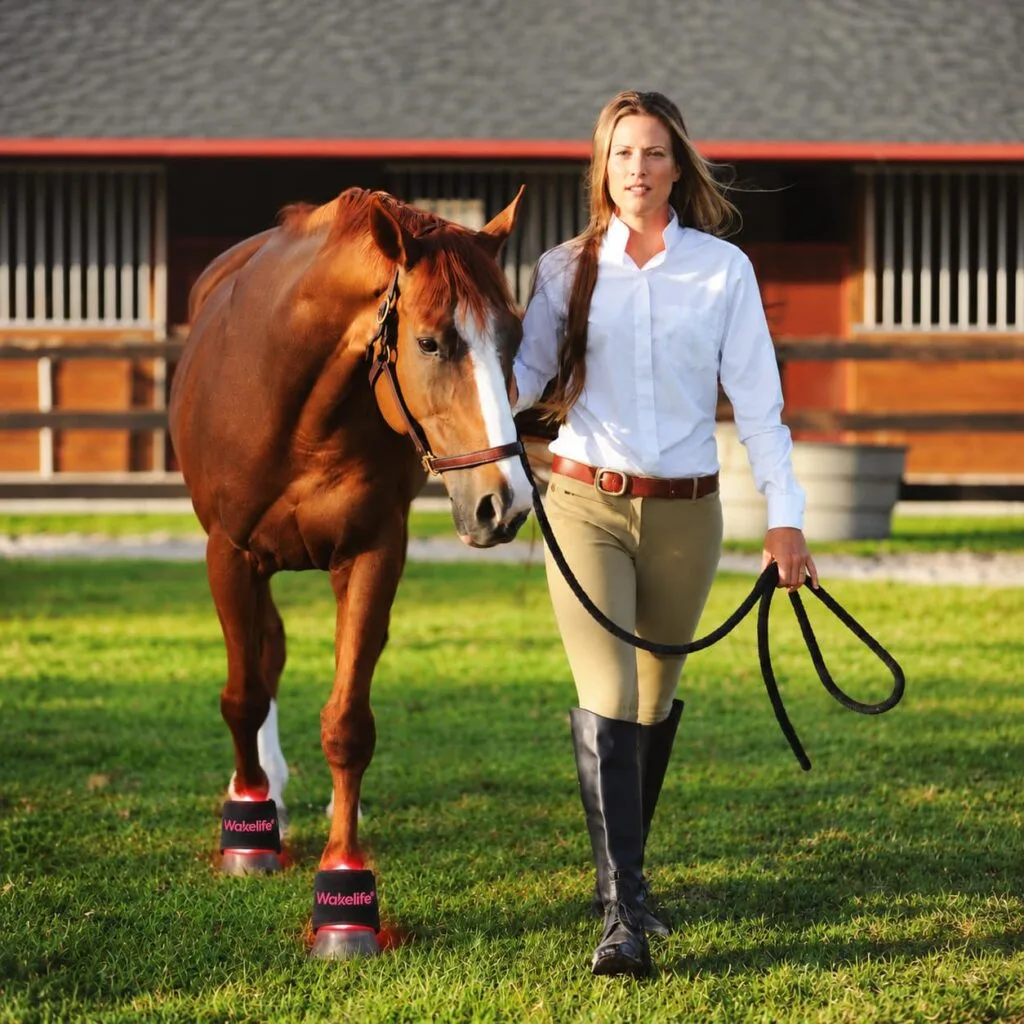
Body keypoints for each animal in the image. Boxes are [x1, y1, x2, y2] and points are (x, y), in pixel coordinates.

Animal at [168, 186, 532, 958]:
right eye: (430, 342)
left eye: (514, 339)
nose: (505, 503)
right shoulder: (230, 556)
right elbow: (243, 695)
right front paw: (248, 833)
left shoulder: (373, 556)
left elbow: (347, 725)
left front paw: (345, 890)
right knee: (262, 660)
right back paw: (262, 797)